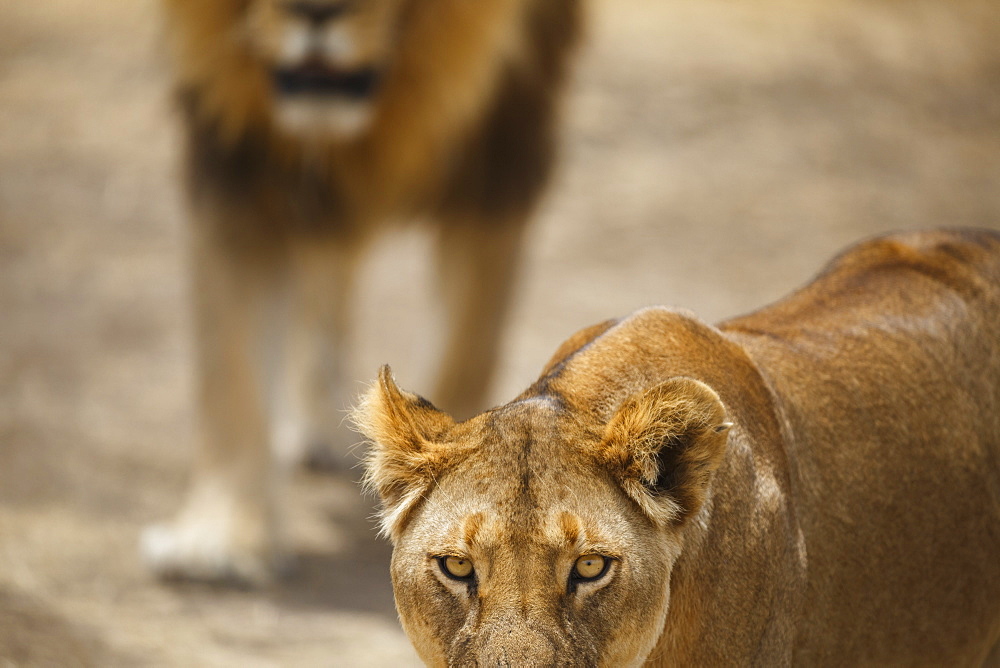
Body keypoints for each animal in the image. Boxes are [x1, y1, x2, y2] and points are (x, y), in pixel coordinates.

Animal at [141, 0, 580, 584]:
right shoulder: (234, 154)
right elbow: (231, 363)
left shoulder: (505, 142)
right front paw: (221, 540)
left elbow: (468, 342)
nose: (315, 10)